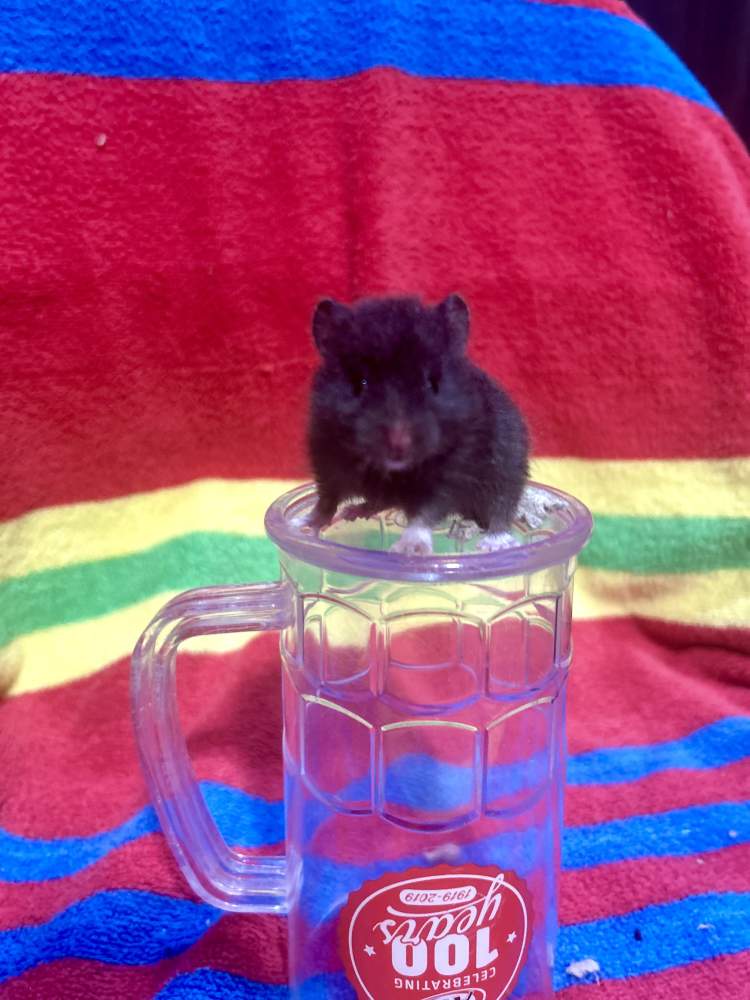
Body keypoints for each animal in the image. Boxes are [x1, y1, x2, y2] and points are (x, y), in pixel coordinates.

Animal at [306, 294, 529, 555]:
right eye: (360, 383)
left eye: (432, 383)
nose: (398, 445)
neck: (394, 470)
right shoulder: (325, 459)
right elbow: (326, 499)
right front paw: (304, 525)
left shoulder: (451, 474)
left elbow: (426, 513)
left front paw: (407, 549)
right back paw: (353, 511)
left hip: (507, 470)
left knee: (501, 509)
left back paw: (495, 543)